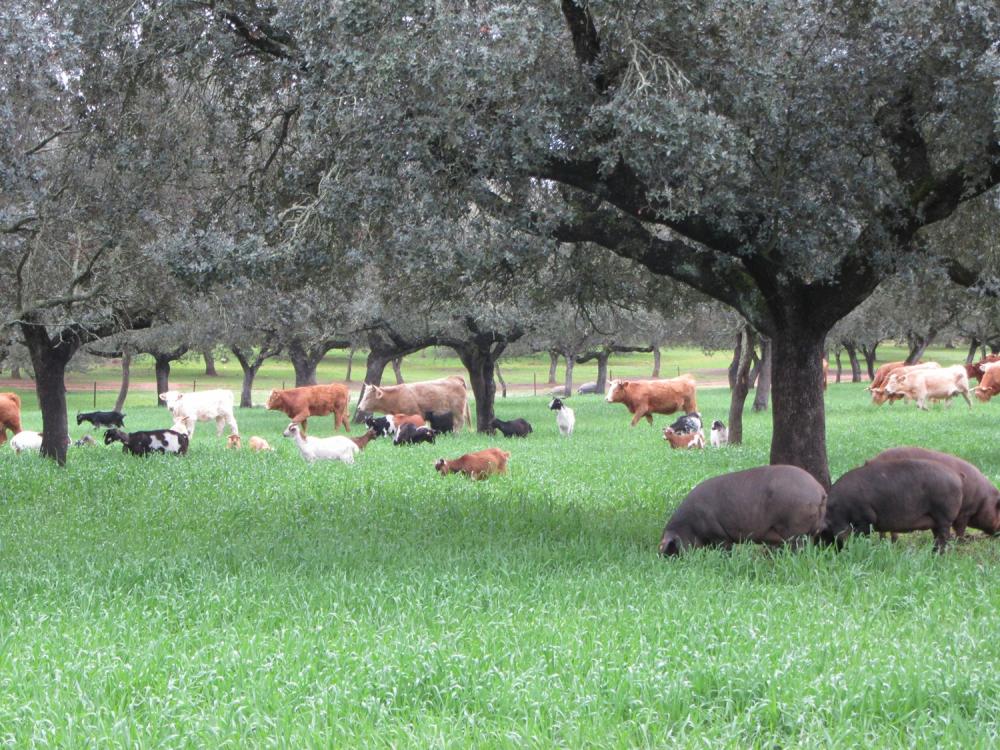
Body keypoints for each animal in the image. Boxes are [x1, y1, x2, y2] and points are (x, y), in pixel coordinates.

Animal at [656, 464, 828, 560]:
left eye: (672, 547)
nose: (665, 560)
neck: (689, 526)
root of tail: (819, 490)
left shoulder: (720, 535)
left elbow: (725, 550)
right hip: (810, 532)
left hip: (795, 530)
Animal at [816, 458, 964, 552]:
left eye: (823, 532)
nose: (820, 552)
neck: (837, 510)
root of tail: (957, 476)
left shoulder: (866, 518)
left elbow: (861, 537)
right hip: (935, 520)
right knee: (937, 536)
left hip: (944, 515)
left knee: (944, 536)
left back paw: (939, 555)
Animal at [868, 446, 1000, 540]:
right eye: (998, 510)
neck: (984, 499)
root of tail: (872, 460)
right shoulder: (965, 512)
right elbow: (960, 529)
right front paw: (961, 541)